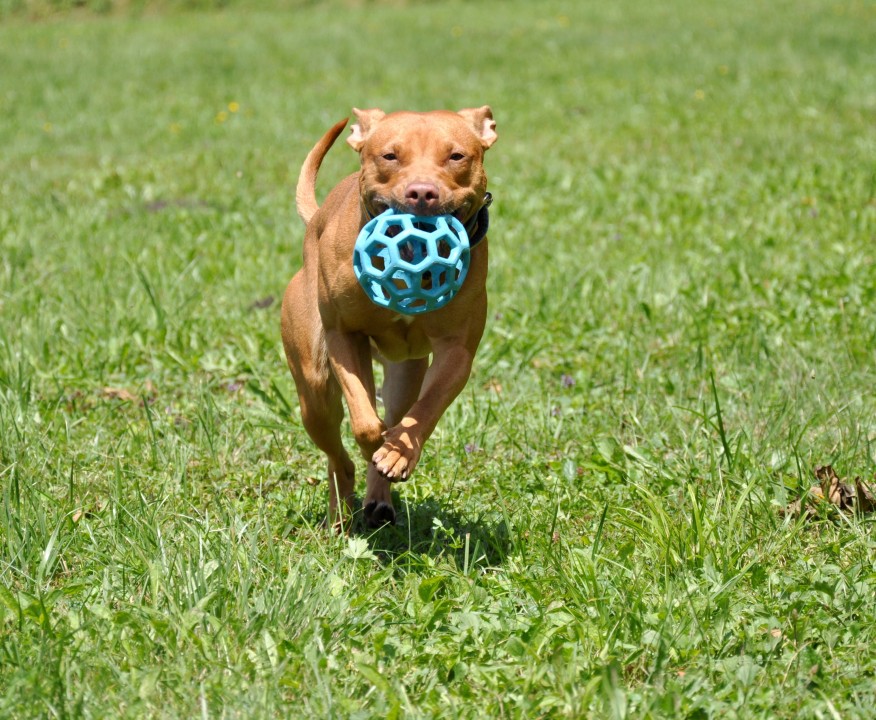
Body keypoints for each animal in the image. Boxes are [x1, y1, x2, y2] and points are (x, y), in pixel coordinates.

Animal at [282, 107, 496, 532]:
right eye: (390, 156)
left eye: (457, 156)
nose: (422, 192)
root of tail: (315, 220)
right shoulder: (344, 336)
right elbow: (365, 421)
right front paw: (375, 444)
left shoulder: (456, 352)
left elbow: (424, 411)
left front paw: (397, 453)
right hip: (314, 392)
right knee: (338, 456)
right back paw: (340, 514)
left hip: (405, 373)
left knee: (399, 410)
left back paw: (379, 497)